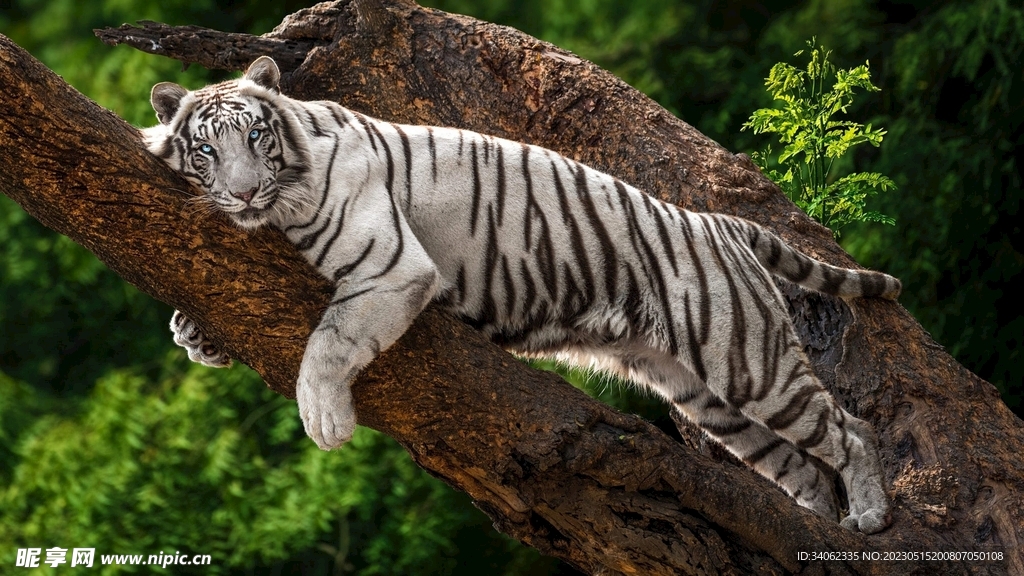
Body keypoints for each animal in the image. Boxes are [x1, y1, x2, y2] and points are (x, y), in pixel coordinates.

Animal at [143, 56, 899, 534]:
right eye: (206, 150)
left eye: (256, 135)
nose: (244, 192)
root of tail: (720, 221)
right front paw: (193, 332)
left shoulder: (391, 265)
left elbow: (328, 343)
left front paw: (324, 420)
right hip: (707, 395)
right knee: (801, 469)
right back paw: (826, 527)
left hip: (745, 357)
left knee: (852, 431)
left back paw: (869, 516)